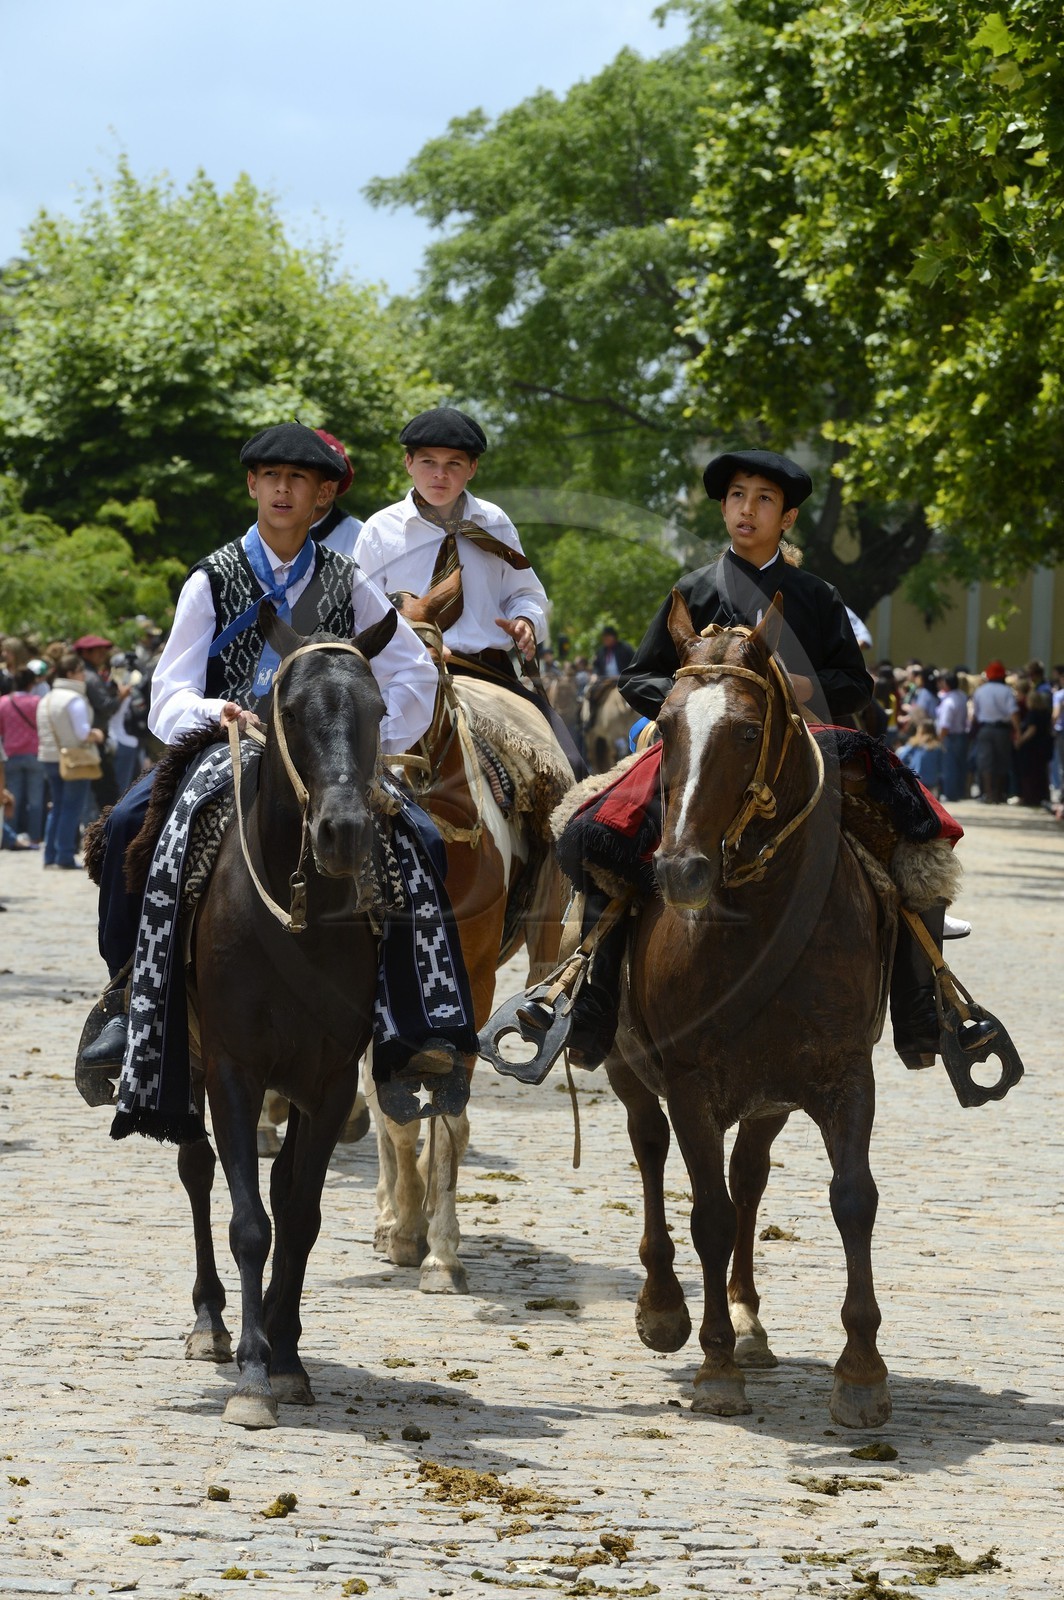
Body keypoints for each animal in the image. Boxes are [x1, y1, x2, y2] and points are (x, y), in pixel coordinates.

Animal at [177, 603, 398, 1427]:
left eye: (378, 710)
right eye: (293, 711)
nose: (342, 832)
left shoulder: (329, 1081)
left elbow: (299, 1216)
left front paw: (287, 1356)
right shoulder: (234, 1071)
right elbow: (249, 1221)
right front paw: (250, 1374)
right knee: (197, 1170)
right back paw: (210, 1321)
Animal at [367, 575, 569, 1293]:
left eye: (423, 671)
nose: (387, 779)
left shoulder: (474, 984)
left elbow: (449, 1115)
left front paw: (442, 1250)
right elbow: (395, 1110)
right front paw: (404, 1230)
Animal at [605, 591, 892, 1429]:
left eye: (747, 731)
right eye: (666, 726)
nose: (681, 869)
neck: (766, 926)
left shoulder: (843, 1077)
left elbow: (851, 1200)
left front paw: (861, 1371)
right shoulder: (690, 1083)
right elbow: (707, 1211)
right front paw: (716, 1364)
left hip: (769, 1101)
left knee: (750, 1176)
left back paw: (749, 1314)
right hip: (630, 1071)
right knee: (650, 1152)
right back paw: (665, 1306)